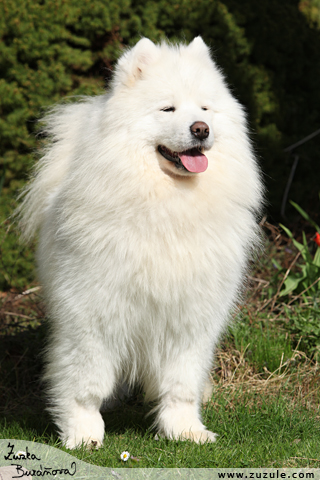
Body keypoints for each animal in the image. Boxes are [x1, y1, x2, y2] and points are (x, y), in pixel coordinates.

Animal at [18, 38, 262, 450]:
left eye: (205, 109)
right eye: (168, 109)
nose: (201, 129)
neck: (167, 205)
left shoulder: (191, 318)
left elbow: (181, 384)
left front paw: (184, 430)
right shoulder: (93, 315)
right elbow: (85, 383)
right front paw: (83, 433)